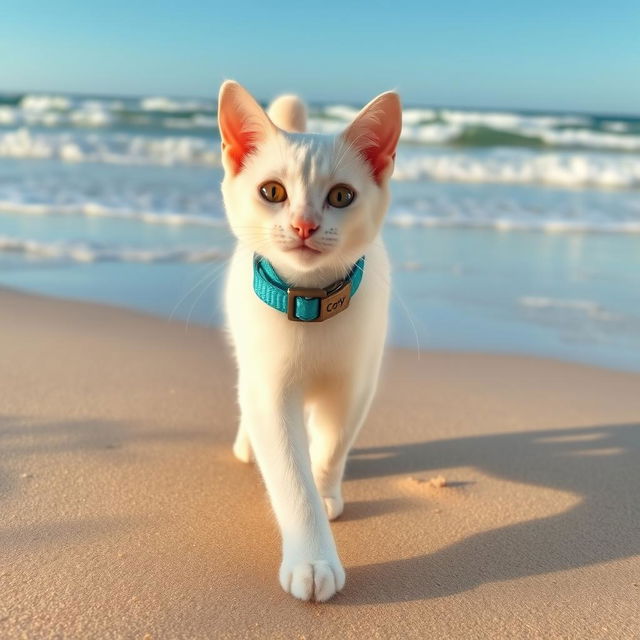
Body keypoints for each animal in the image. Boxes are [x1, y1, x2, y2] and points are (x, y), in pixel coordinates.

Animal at [219, 80, 400, 600]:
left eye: (341, 195)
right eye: (272, 192)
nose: (304, 224)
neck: (311, 305)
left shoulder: (356, 383)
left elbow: (334, 443)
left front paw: (324, 489)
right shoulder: (270, 390)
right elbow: (288, 472)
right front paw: (313, 558)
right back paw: (246, 443)